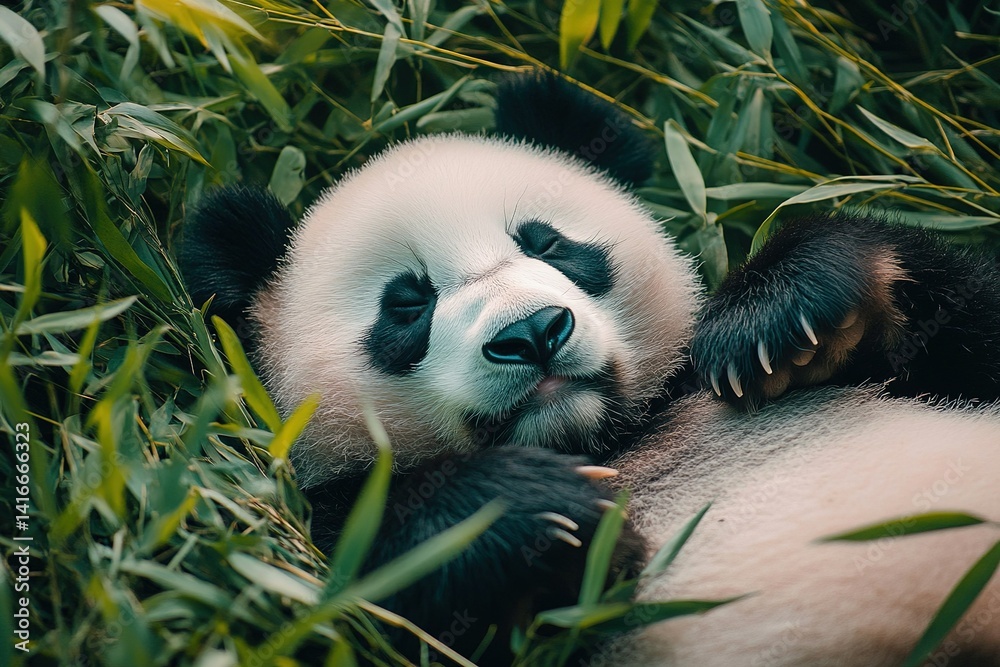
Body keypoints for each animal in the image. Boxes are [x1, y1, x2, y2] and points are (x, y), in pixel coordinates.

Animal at [180, 72, 1000, 666]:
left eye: (547, 243)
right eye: (407, 303)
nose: (532, 334)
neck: (609, 439)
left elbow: (972, 325)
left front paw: (789, 313)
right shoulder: (318, 544)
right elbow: (369, 578)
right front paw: (536, 510)